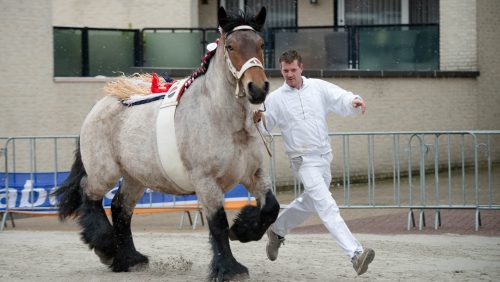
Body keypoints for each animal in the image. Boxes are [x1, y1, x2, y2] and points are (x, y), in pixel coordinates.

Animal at [55, 7, 282, 282]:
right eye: (230, 46)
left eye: (261, 44)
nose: (257, 88)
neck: (223, 119)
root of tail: (98, 107)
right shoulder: (206, 181)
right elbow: (218, 224)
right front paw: (229, 268)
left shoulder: (254, 174)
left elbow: (271, 207)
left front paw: (242, 230)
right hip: (104, 173)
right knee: (89, 194)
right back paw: (106, 247)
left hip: (136, 177)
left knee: (120, 207)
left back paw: (130, 259)